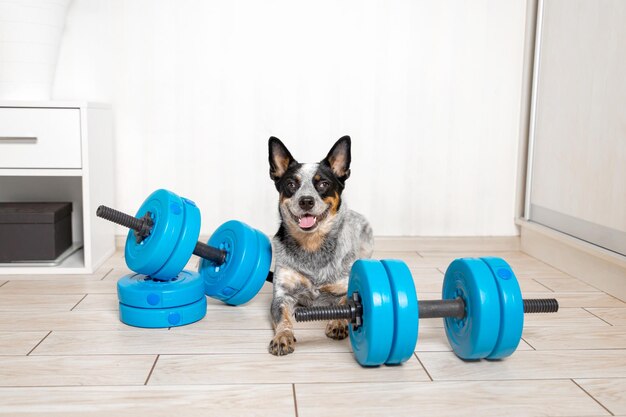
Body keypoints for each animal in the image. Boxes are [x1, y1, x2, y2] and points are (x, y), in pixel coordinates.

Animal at [266, 136, 370, 354]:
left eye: (323, 184)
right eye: (291, 184)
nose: (306, 201)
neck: (312, 247)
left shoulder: (344, 288)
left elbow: (344, 304)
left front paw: (337, 323)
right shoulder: (282, 294)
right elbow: (283, 318)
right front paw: (282, 337)